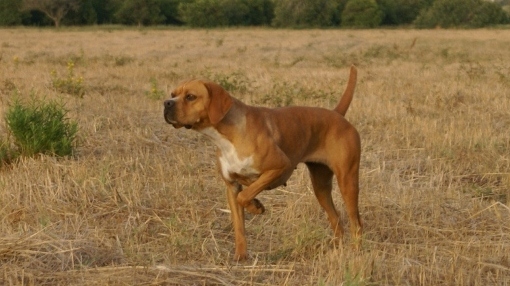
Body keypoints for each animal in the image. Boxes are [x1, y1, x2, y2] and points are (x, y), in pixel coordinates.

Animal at [163, 66, 362, 260]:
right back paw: (337, 249)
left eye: (190, 96)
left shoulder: (280, 166)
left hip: (347, 182)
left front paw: (256, 206)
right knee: (336, 219)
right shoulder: (232, 186)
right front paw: (241, 255)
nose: (166, 103)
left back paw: (356, 250)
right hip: (321, 187)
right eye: (173, 93)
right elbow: (239, 223)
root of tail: (337, 114)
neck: (228, 137)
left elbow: (245, 196)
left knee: (356, 222)